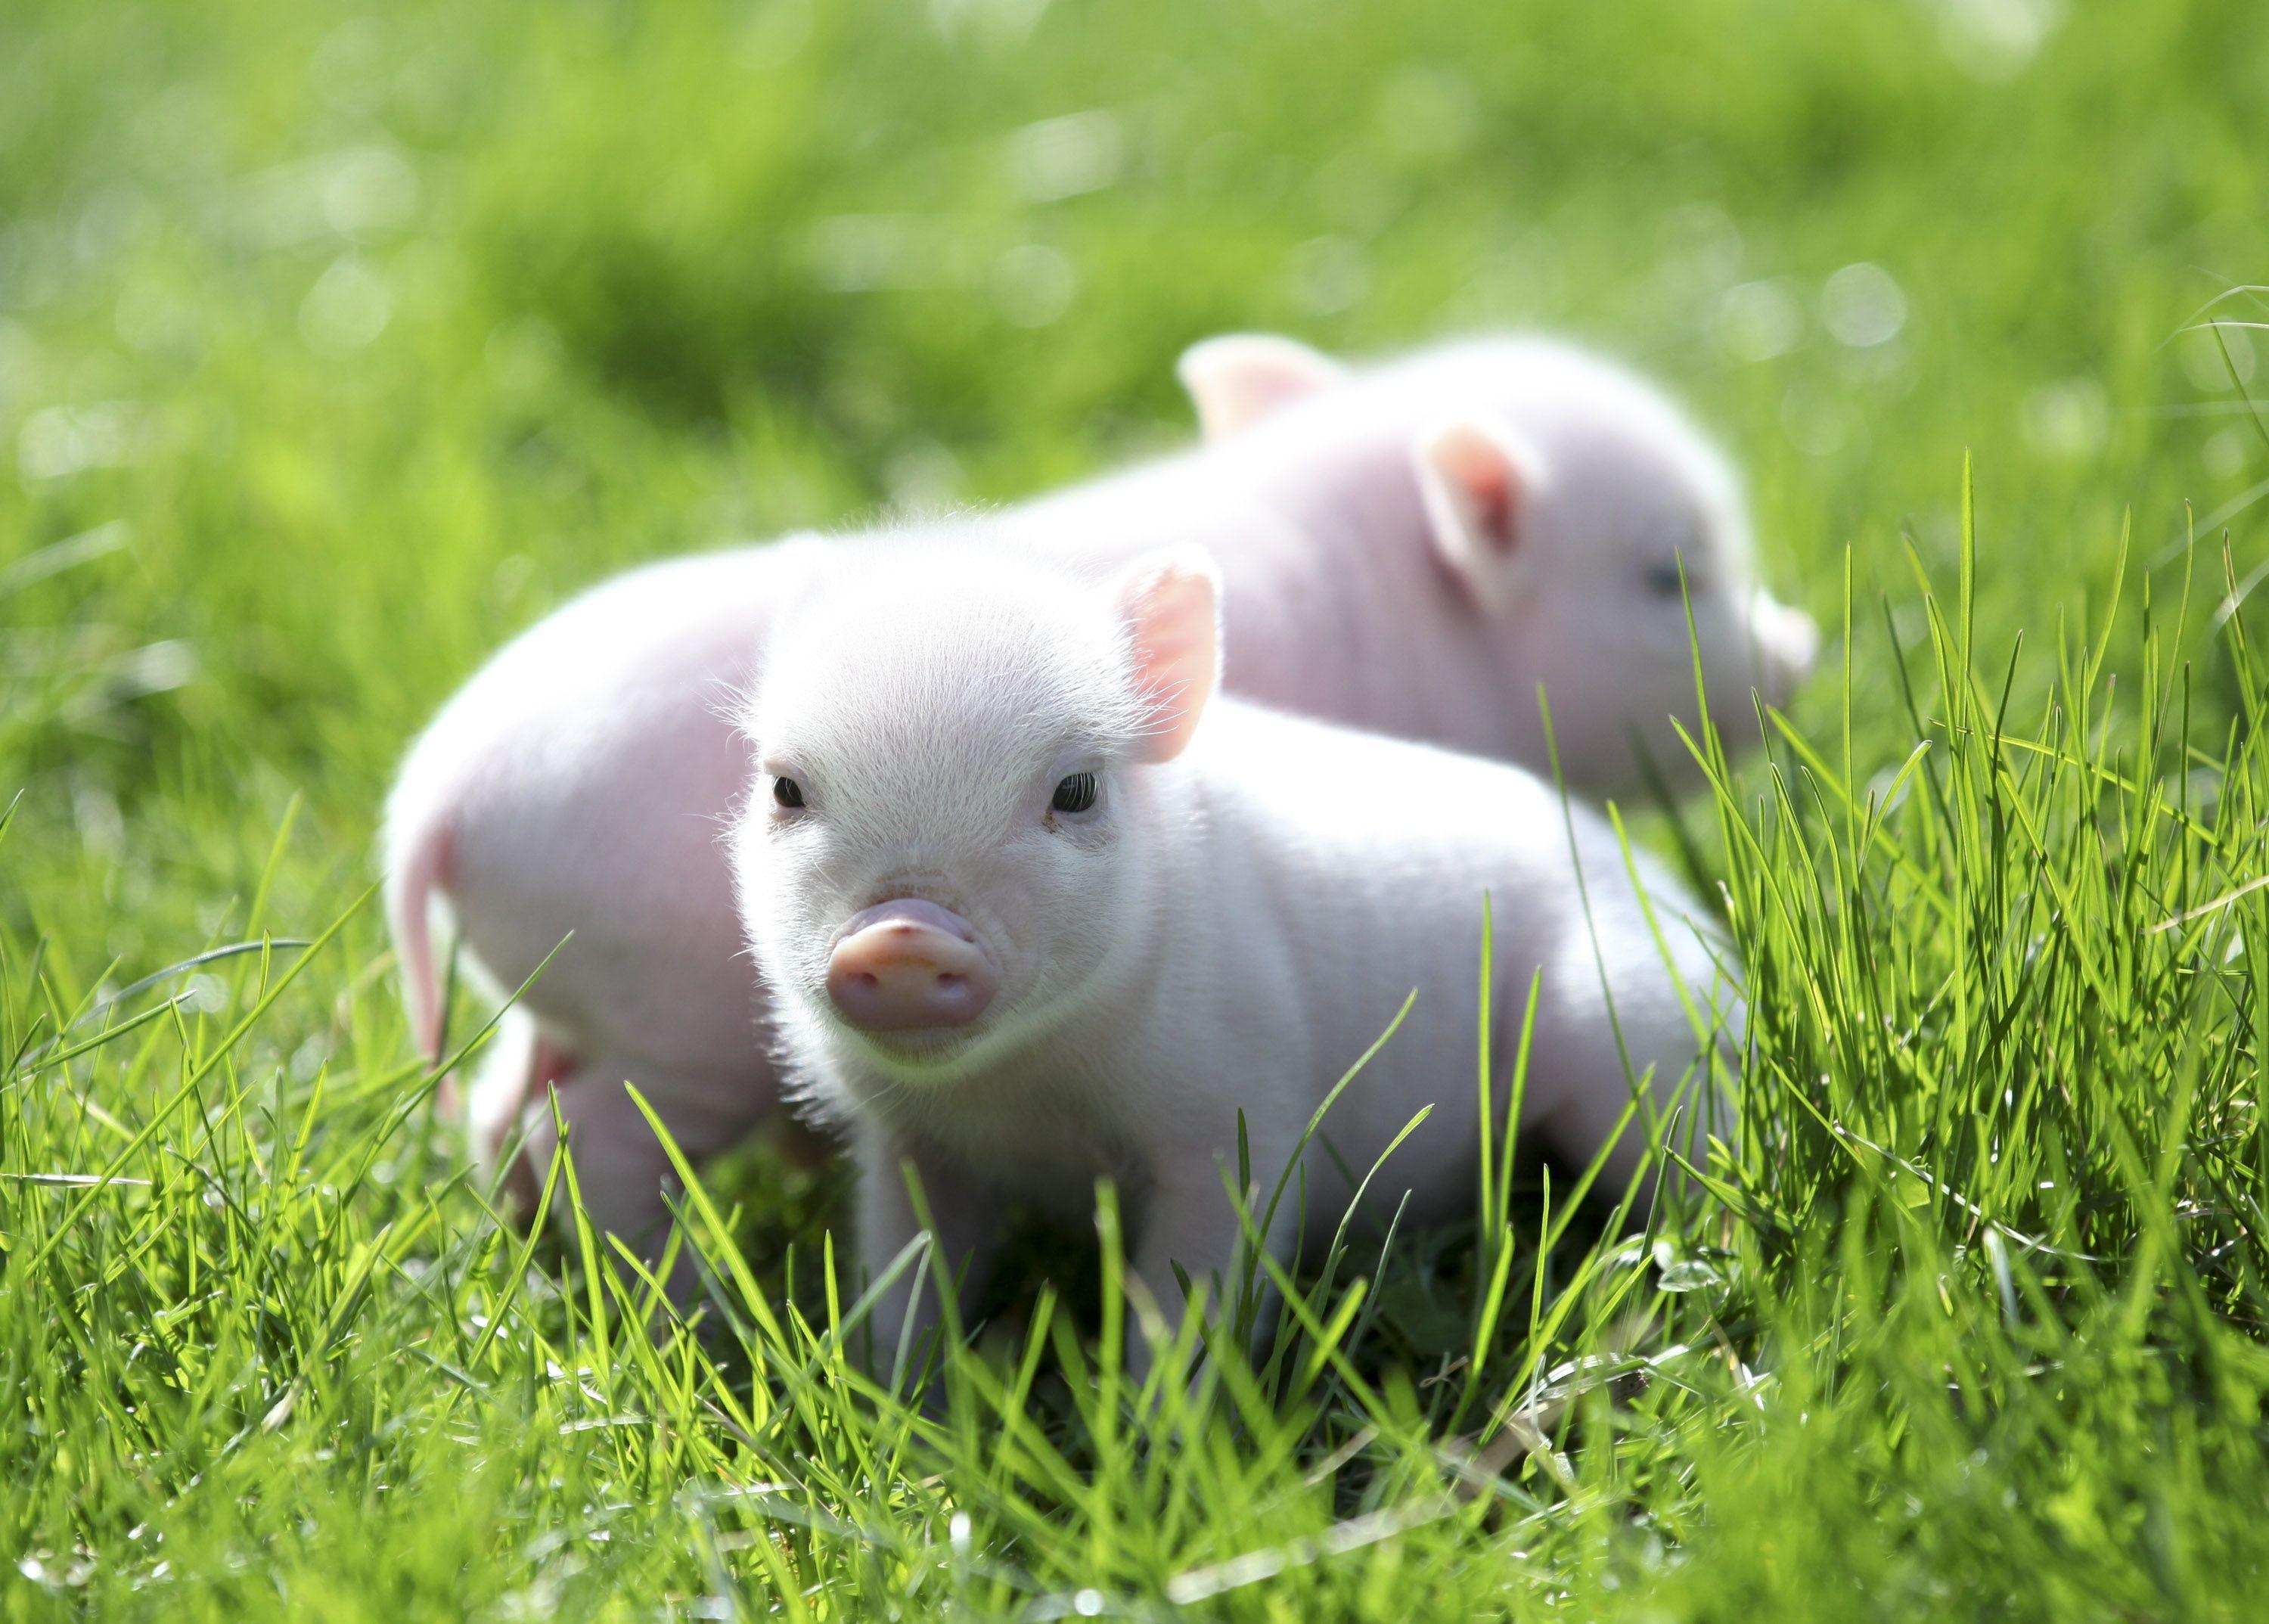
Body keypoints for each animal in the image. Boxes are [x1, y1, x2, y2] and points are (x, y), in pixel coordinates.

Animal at [382, 333, 1811, 1266]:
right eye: (1668, 575)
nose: (1801, 649)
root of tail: (430, 794)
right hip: (671, 1022)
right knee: (593, 1140)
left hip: (564, 991)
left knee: (506, 1110)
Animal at [729, 537, 1737, 1361]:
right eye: (785, 789)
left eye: (1077, 789)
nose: (902, 932)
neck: (1021, 1096)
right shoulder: (905, 1141)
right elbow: (909, 1276)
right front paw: (902, 1399)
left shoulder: (1237, 1106)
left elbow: (1191, 1294)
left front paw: (1160, 1437)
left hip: (1635, 1030)